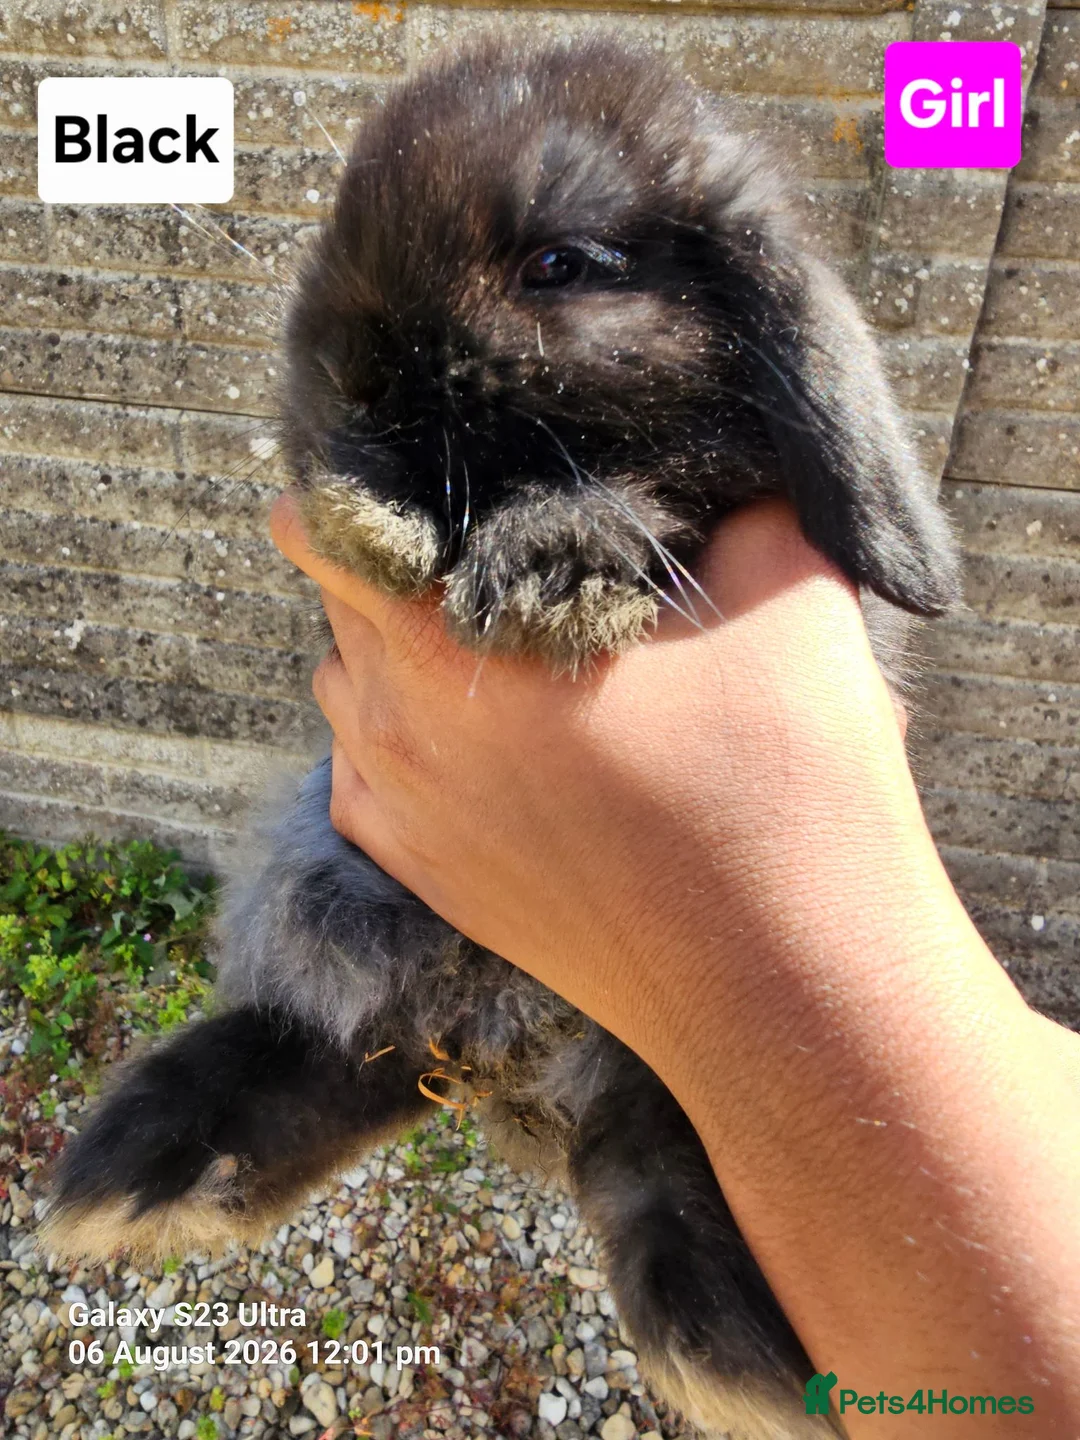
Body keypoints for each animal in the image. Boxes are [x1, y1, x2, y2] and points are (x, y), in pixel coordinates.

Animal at [42, 35, 961, 1440]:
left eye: (562, 265)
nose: (349, 381)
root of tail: (510, 1053)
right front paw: (371, 516)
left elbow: (634, 502)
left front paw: (555, 564)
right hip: (329, 884)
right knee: (337, 1035)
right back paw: (143, 1177)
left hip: (638, 1052)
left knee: (643, 1143)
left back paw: (730, 1356)